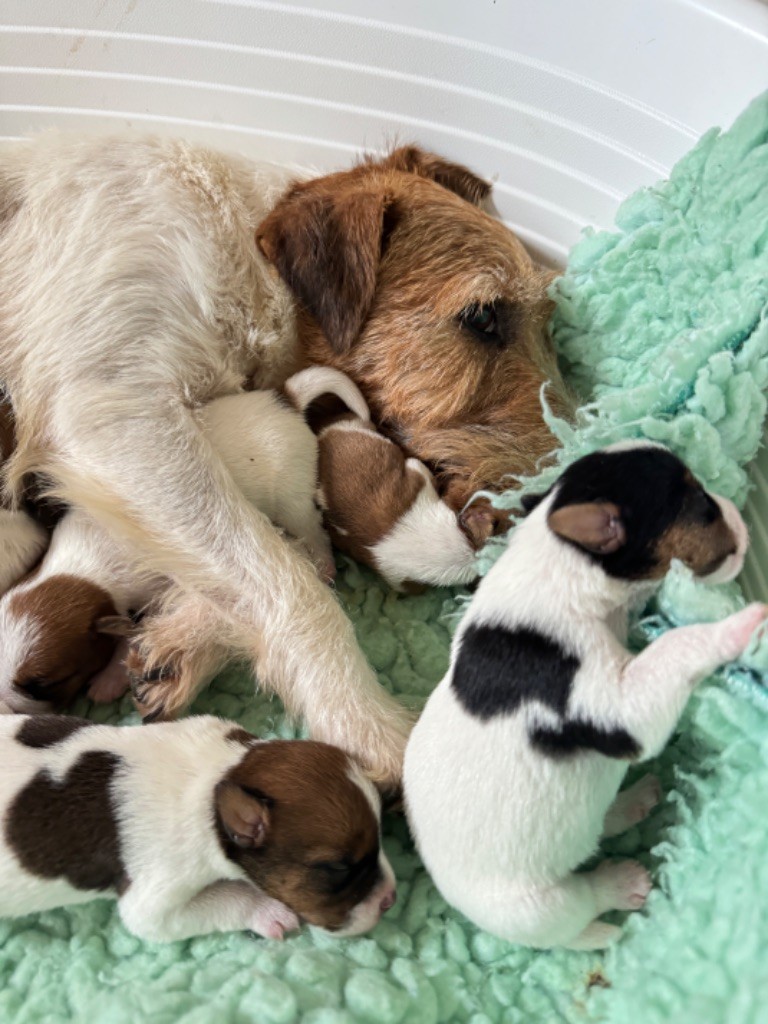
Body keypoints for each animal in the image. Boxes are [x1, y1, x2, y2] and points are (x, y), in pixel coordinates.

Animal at [0, 712, 397, 942]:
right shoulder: (157, 899)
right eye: (338, 869)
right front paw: (267, 910)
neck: (223, 772)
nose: (390, 899)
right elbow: (221, 900)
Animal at [403, 442, 765, 950]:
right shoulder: (620, 707)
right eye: (701, 507)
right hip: (541, 908)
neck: (559, 560)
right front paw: (735, 627)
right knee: (580, 911)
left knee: (597, 827)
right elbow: (675, 646)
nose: (737, 513)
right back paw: (616, 893)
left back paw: (632, 802)